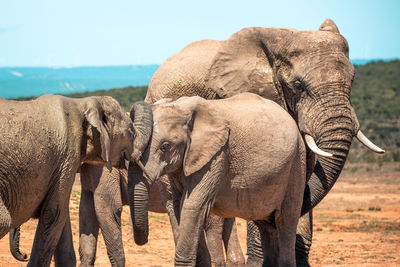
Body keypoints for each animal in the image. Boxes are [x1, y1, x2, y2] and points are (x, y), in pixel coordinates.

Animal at [0, 95, 152, 266]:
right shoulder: (66, 156)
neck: (82, 102)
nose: (24, 255)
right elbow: (55, 215)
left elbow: (58, 215)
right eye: (131, 133)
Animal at [130, 93, 308, 266]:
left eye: (165, 146)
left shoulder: (217, 155)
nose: (143, 240)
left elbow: (192, 206)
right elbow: (178, 206)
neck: (183, 107)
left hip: (297, 162)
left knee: (286, 220)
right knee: (266, 225)